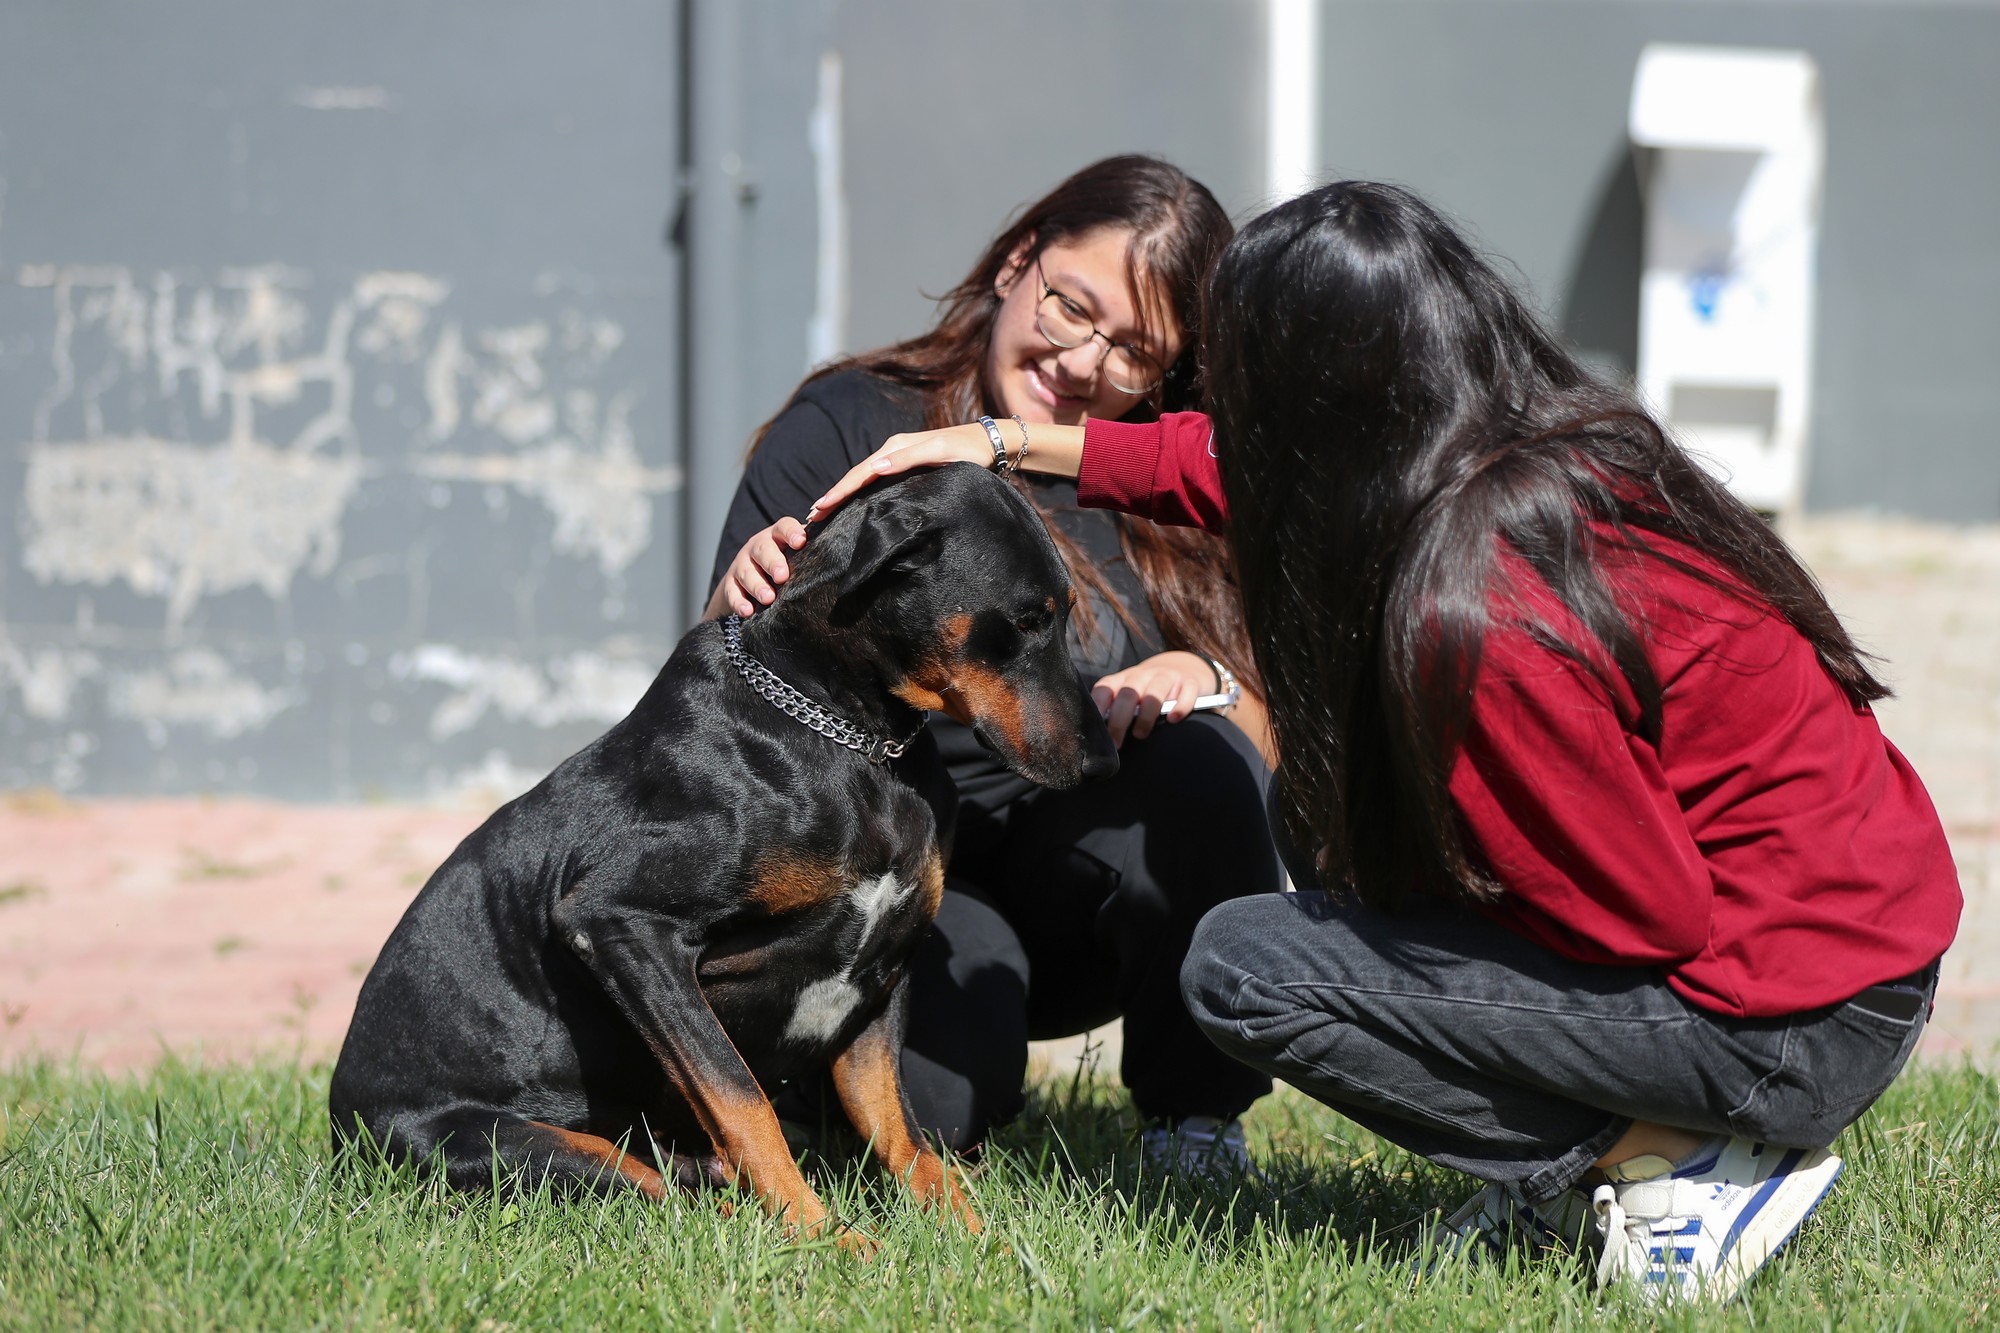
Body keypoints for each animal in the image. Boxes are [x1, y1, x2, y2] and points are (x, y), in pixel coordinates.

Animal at [326, 462, 1112, 1240]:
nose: (1101, 761)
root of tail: (340, 1133)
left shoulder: (883, 966)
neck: (852, 737)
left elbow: (899, 1126)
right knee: (655, 1190)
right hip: (520, 1145)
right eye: (1028, 618)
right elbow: (739, 1096)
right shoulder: (621, 925)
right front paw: (825, 1238)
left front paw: (974, 1237)